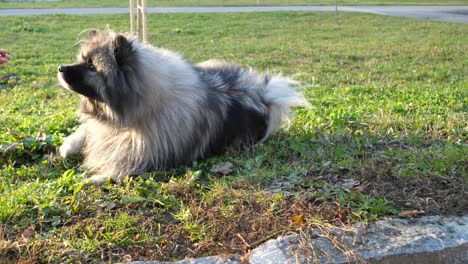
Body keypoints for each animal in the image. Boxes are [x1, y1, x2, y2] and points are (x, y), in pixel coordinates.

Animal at [57, 29, 308, 183]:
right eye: (82, 59)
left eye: (91, 67)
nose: (60, 68)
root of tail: (264, 94)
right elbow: (85, 129)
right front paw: (69, 145)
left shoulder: (146, 158)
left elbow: (117, 169)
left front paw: (88, 179)